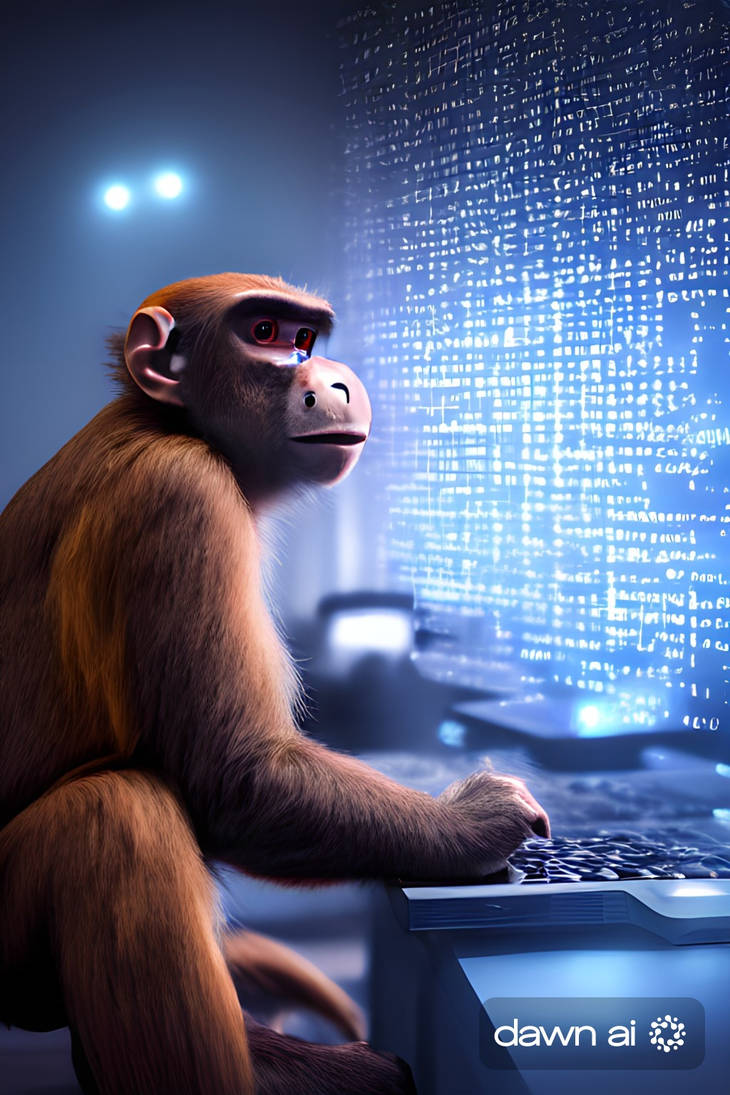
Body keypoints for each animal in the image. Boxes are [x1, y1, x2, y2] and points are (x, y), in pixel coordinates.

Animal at [0, 272, 549, 1095]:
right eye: (264, 332)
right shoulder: (183, 497)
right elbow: (237, 775)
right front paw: (472, 821)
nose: (334, 380)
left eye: (305, 338)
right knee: (115, 813)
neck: (164, 421)